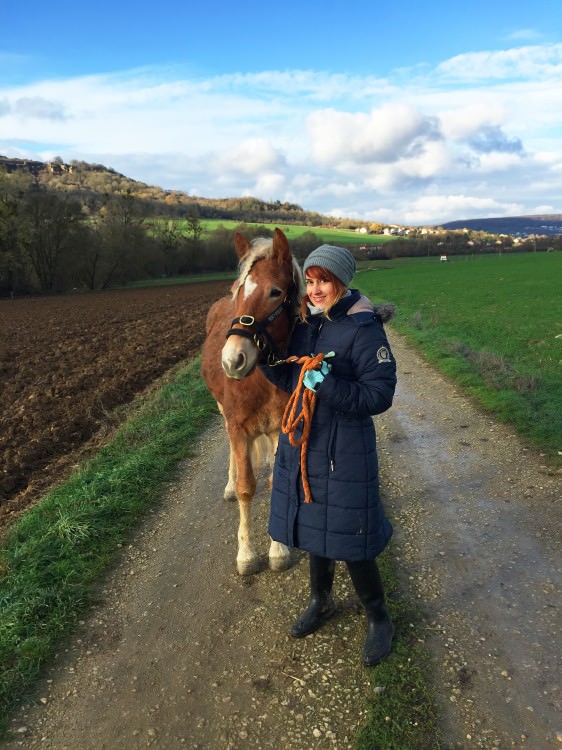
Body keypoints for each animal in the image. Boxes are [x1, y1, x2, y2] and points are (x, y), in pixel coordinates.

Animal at [201, 228, 304, 576]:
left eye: (275, 292)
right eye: (238, 290)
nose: (233, 359)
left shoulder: (281, 430)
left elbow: (276, 482)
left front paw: (278, 548)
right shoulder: (239, 428)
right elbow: (248, 487)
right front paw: (246, 554)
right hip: (224, 415)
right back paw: (230, 486)